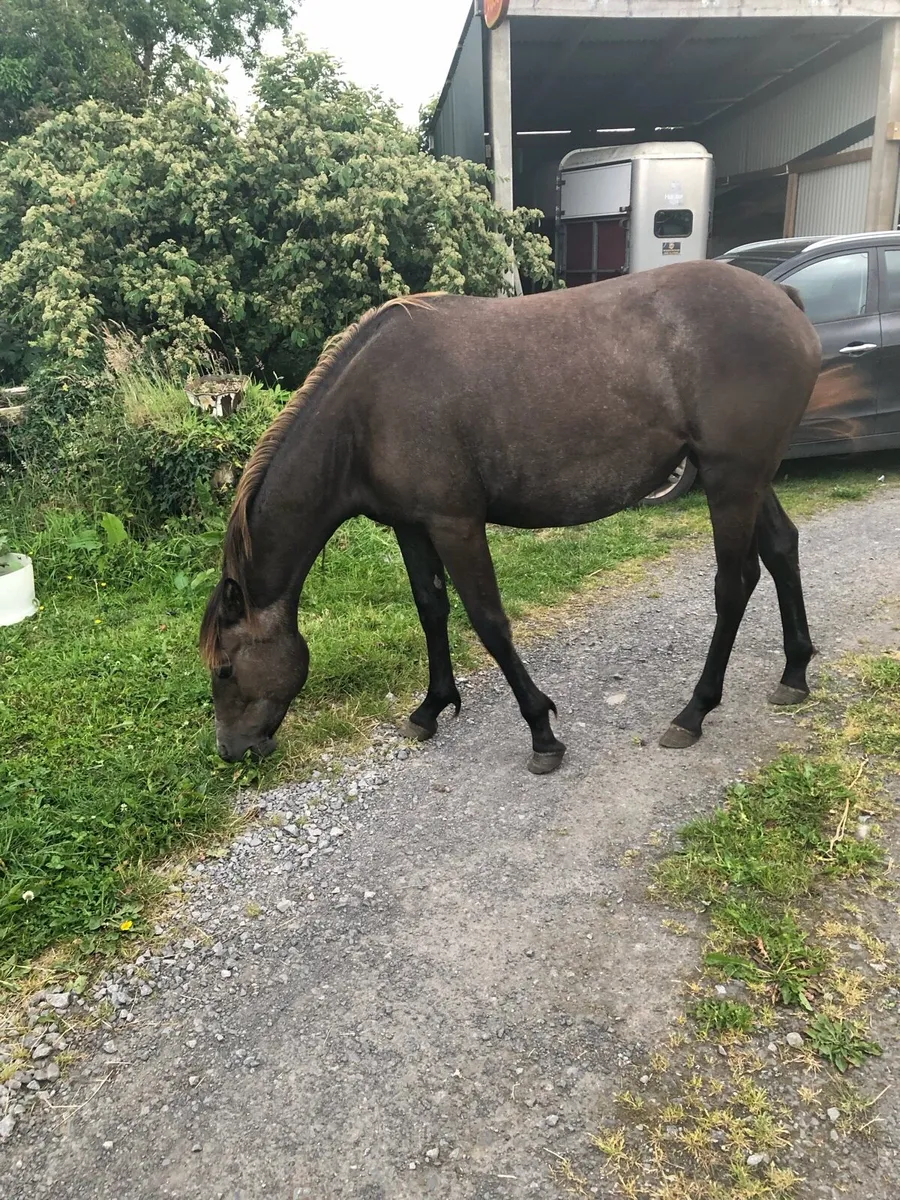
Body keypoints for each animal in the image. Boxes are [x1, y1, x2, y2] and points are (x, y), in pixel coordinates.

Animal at [201, 260, 821, 774]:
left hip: (731, 480)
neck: (365, 413)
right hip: (745, 478)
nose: (231, 750)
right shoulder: (411, 525)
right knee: (782, 548)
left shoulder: (456, 524)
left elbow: (489, 621)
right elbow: (431, 609)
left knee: (734, 583)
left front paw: (542, 732)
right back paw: (794, 674)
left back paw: (693, 712)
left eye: (225, 668)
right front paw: (431, 708)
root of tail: (784, 297)